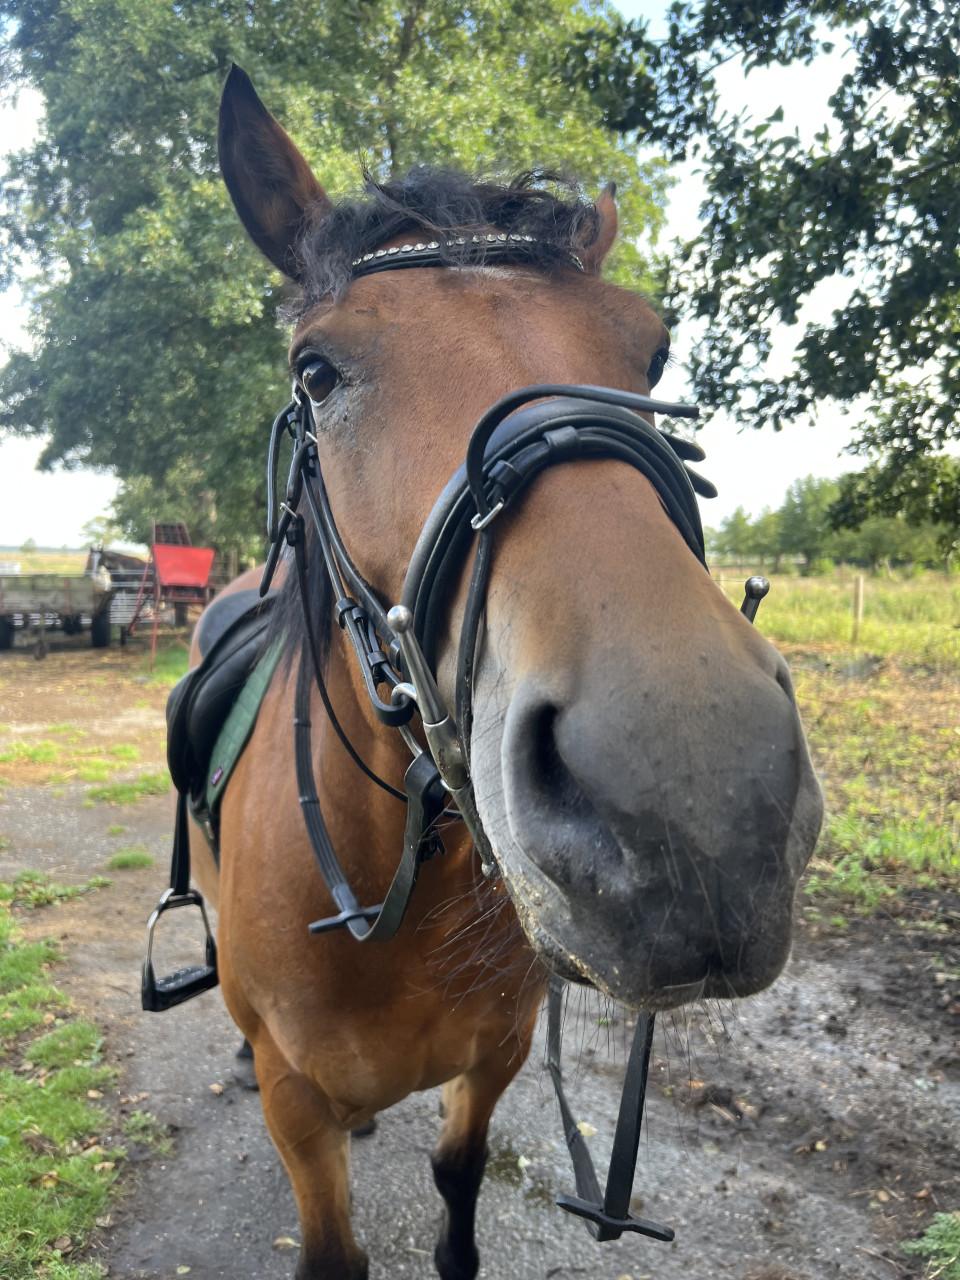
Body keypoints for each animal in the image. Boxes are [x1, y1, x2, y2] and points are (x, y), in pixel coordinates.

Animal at [183, 64, 823, 1280]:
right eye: (315, 369)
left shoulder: (498, 1056)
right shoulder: (297, 1106)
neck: (391, 885)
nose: (696, 805)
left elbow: (458, 1180)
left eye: (651, 351)